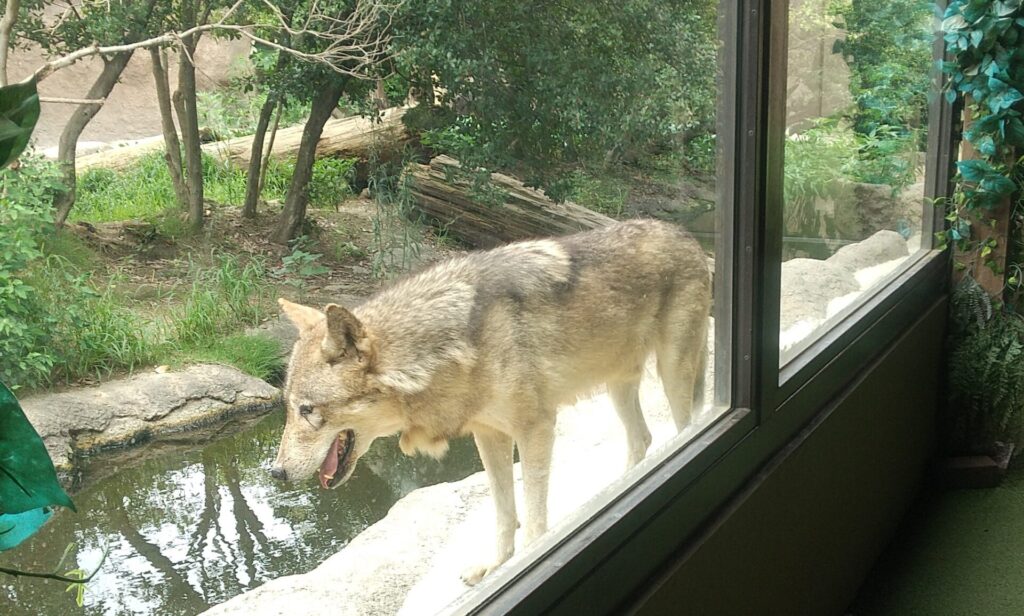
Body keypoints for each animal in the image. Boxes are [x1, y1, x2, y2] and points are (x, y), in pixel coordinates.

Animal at [268, 217, 708, 581]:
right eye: (287, 409)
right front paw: (495, 564)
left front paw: (530, 557)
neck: (452, 348)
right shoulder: (489, 435)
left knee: (681, 427)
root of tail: (687, 235)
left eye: (308, 411)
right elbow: (503, 511)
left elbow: (533, 515)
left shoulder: (536, 429)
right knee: (641, 439)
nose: (276, 473)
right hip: (618, 386)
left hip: (672, 374)